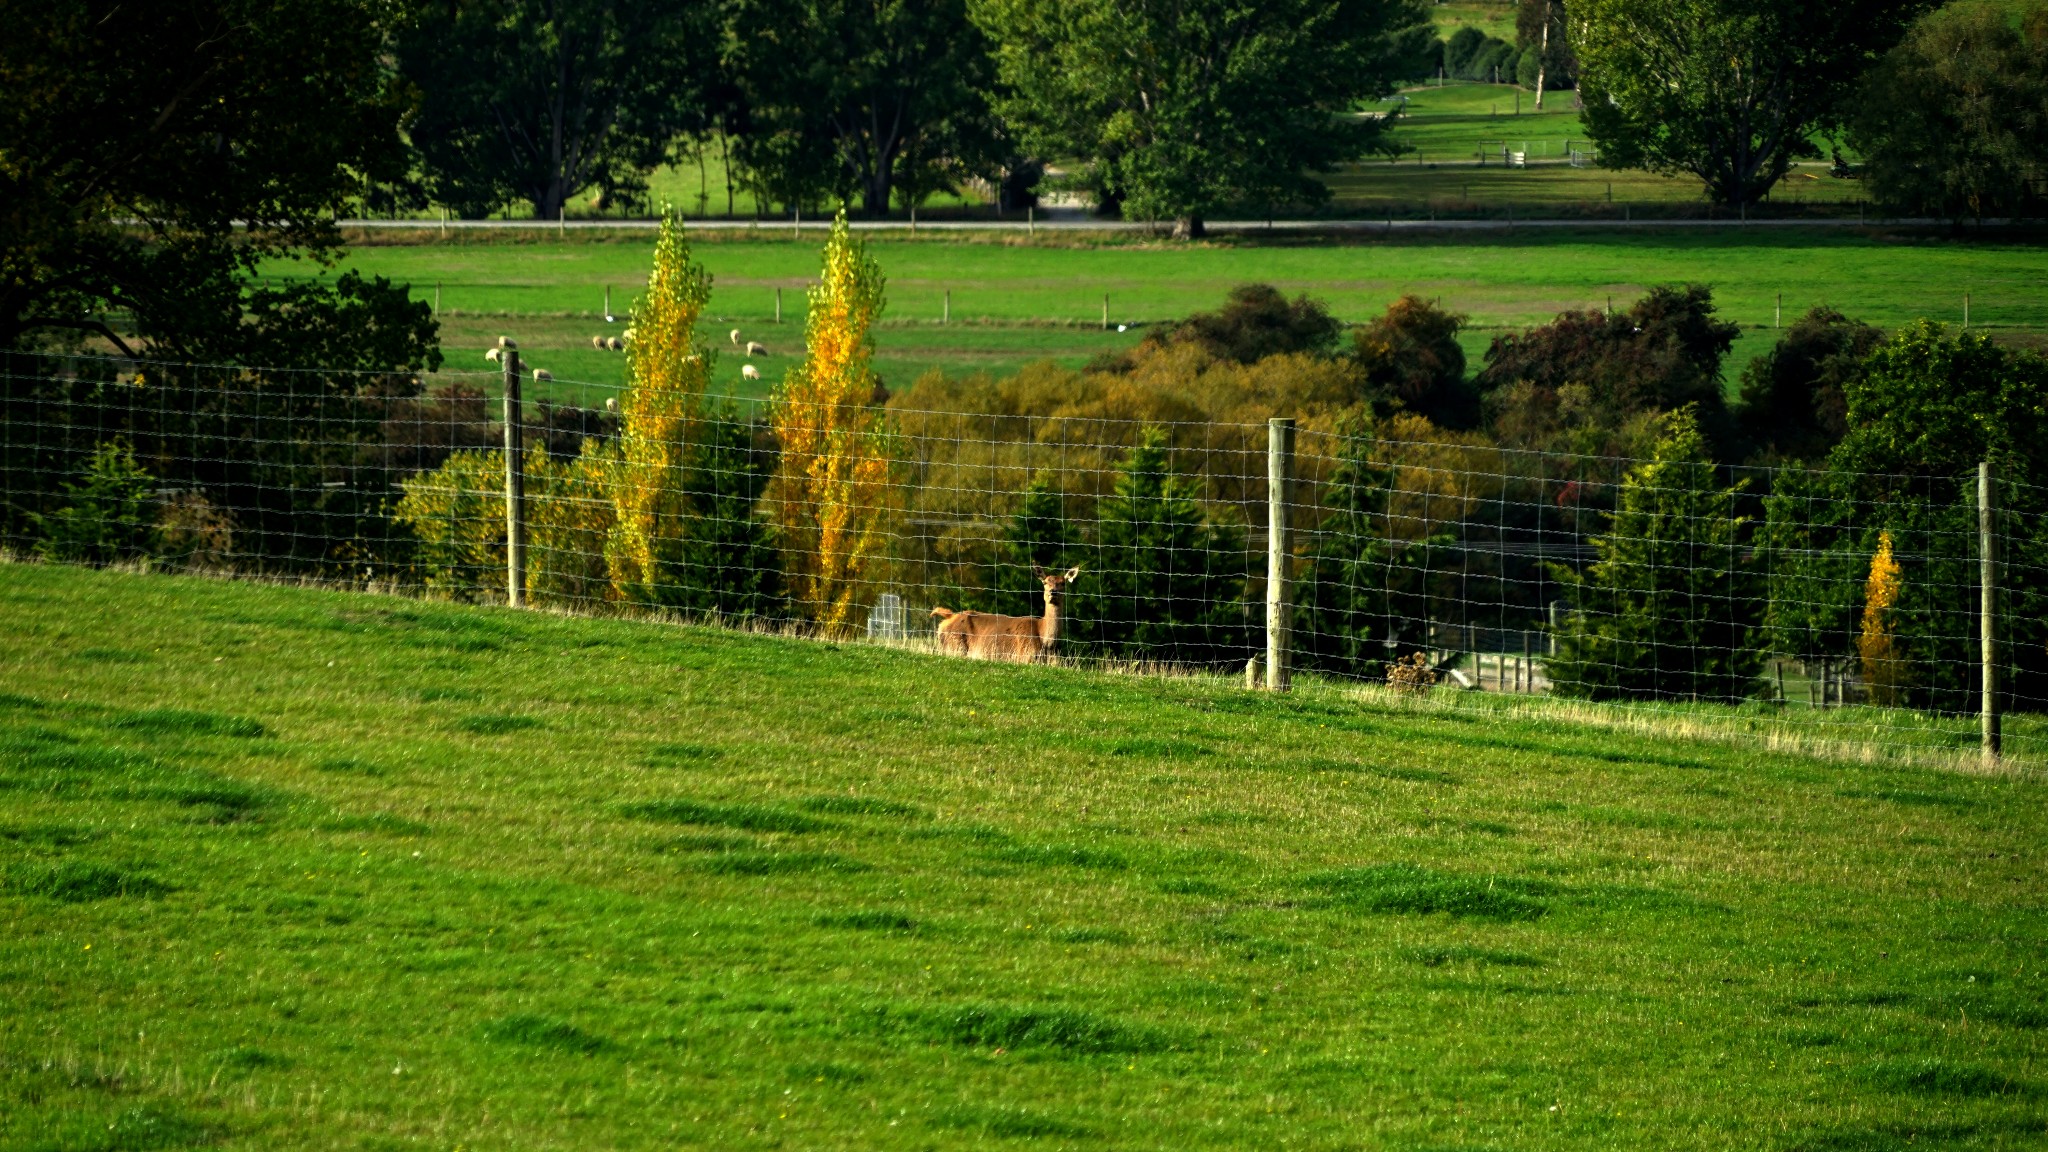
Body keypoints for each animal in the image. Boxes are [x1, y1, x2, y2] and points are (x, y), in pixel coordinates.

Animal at [933, 565, 1089, 664]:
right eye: (1045, 582)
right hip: (955, 645)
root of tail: (947, 619)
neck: (1045, 642)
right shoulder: (1024, 656)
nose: (1053, 592)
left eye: (1063, 583)